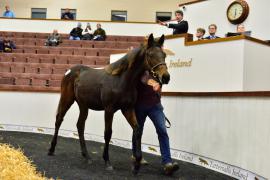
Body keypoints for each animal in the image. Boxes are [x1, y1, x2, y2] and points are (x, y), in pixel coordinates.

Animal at [47, 33, 170, 174]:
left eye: (164, 55)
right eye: (150, 54)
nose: (165, 77)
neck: (122, 80)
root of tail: (69, 71)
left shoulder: (127, 109)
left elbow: (137, 130)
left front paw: (137, 164)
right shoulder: (109, 110)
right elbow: (108, 133)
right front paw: (107, 161)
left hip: (83, 105)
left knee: (80, 125)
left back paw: (87, 156)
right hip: (67, 99)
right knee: (59, 120)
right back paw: (51, 149)